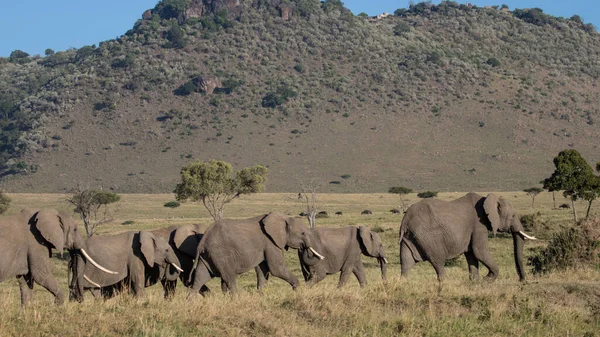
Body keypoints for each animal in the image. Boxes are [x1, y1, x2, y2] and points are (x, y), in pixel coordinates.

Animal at [191, 213, 324, 294]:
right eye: (302, 233)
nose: (303, 248)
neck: (284, 217)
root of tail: (203, 240)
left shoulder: (265, 246)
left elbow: (263, 271)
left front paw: (261, 295)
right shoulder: (270, 242)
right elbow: (276, 268)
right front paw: (298, 289)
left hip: (207, 256)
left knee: (199, 279)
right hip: (220, 254)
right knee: (230, 279)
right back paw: (236, 300)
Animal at [398, 192, 540, 280]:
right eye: (513, 216)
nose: (522, 281)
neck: (488, 198)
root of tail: (405, 219)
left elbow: (472, 254)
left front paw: (475, 282)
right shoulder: (479, 224)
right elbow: (479, 251)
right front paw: (486, 280)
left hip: (410, 236)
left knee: (406, 262)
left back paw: (403, 284)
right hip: (427, 236)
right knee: (438, 261)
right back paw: (444, 284)